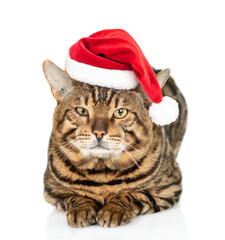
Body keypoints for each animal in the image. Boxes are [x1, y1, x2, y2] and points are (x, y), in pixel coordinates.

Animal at [43, 59, 187, 227]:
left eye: (120, 112)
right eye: (81, 111)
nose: (99, 132)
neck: (101, 173)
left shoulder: (169, 187)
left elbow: (134, 195)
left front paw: (113, 209)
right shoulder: (53, 192)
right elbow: (76, 196)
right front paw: (82, 208)